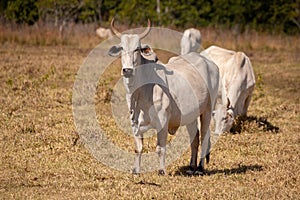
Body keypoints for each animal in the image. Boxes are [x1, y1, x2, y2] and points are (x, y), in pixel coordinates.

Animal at [109, 18, 219, 175]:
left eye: (137, 49)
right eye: (122, 48)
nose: (128, 70)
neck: (140, 92)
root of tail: (210, 63)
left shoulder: (162, 121)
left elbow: (160, 148)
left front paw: (161, 170)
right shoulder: (134, 123)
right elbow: (138, 148)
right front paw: (135, 170)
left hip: (208, 110)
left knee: (204, 137)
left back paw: (199, 168)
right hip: (191, 115)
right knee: (195, 138)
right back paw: (191, 167)